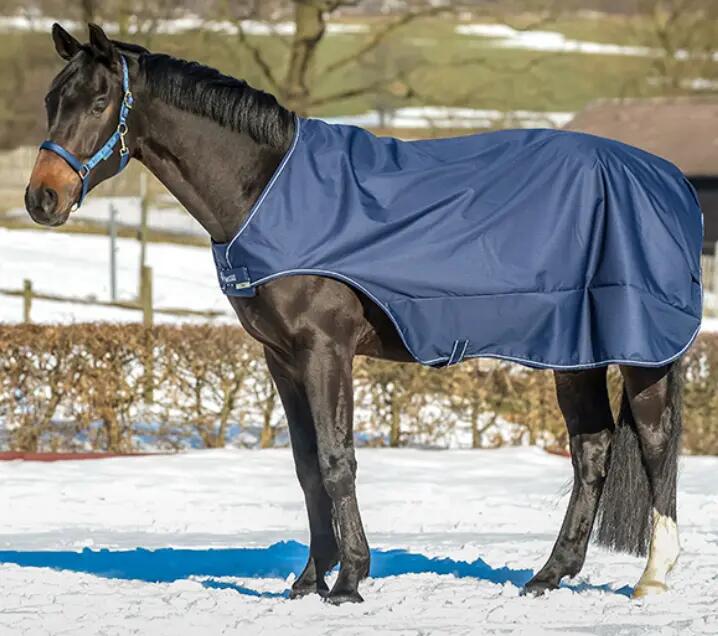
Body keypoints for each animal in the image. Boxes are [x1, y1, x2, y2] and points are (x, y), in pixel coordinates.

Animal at [25, 23, 700, 604]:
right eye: (53, 99)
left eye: (101, 100)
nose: (41, 198)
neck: (267, 191)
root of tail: (666, 180)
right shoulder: (281, 357)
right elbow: (305, 466)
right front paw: (307, 581)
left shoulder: (326, 349)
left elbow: (335, 460)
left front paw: (349, 580)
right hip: (574, 352)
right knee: (593, 449)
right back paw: (548, 575)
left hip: (636, 354)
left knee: (654, 442)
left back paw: (652, 577)